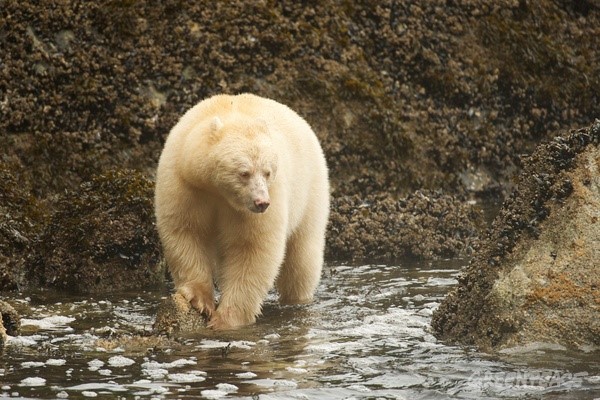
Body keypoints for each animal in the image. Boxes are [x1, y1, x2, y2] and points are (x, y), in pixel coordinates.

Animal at [155, 94, 330, 332]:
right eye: (244, 172)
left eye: (267, 172)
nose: (262, 202)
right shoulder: (185, 183)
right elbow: (186, 232)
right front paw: (201, 300)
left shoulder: (261, 202)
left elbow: (252, 249)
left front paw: (226, 318)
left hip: (310, 193)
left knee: (302, 259)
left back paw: (297, 300)